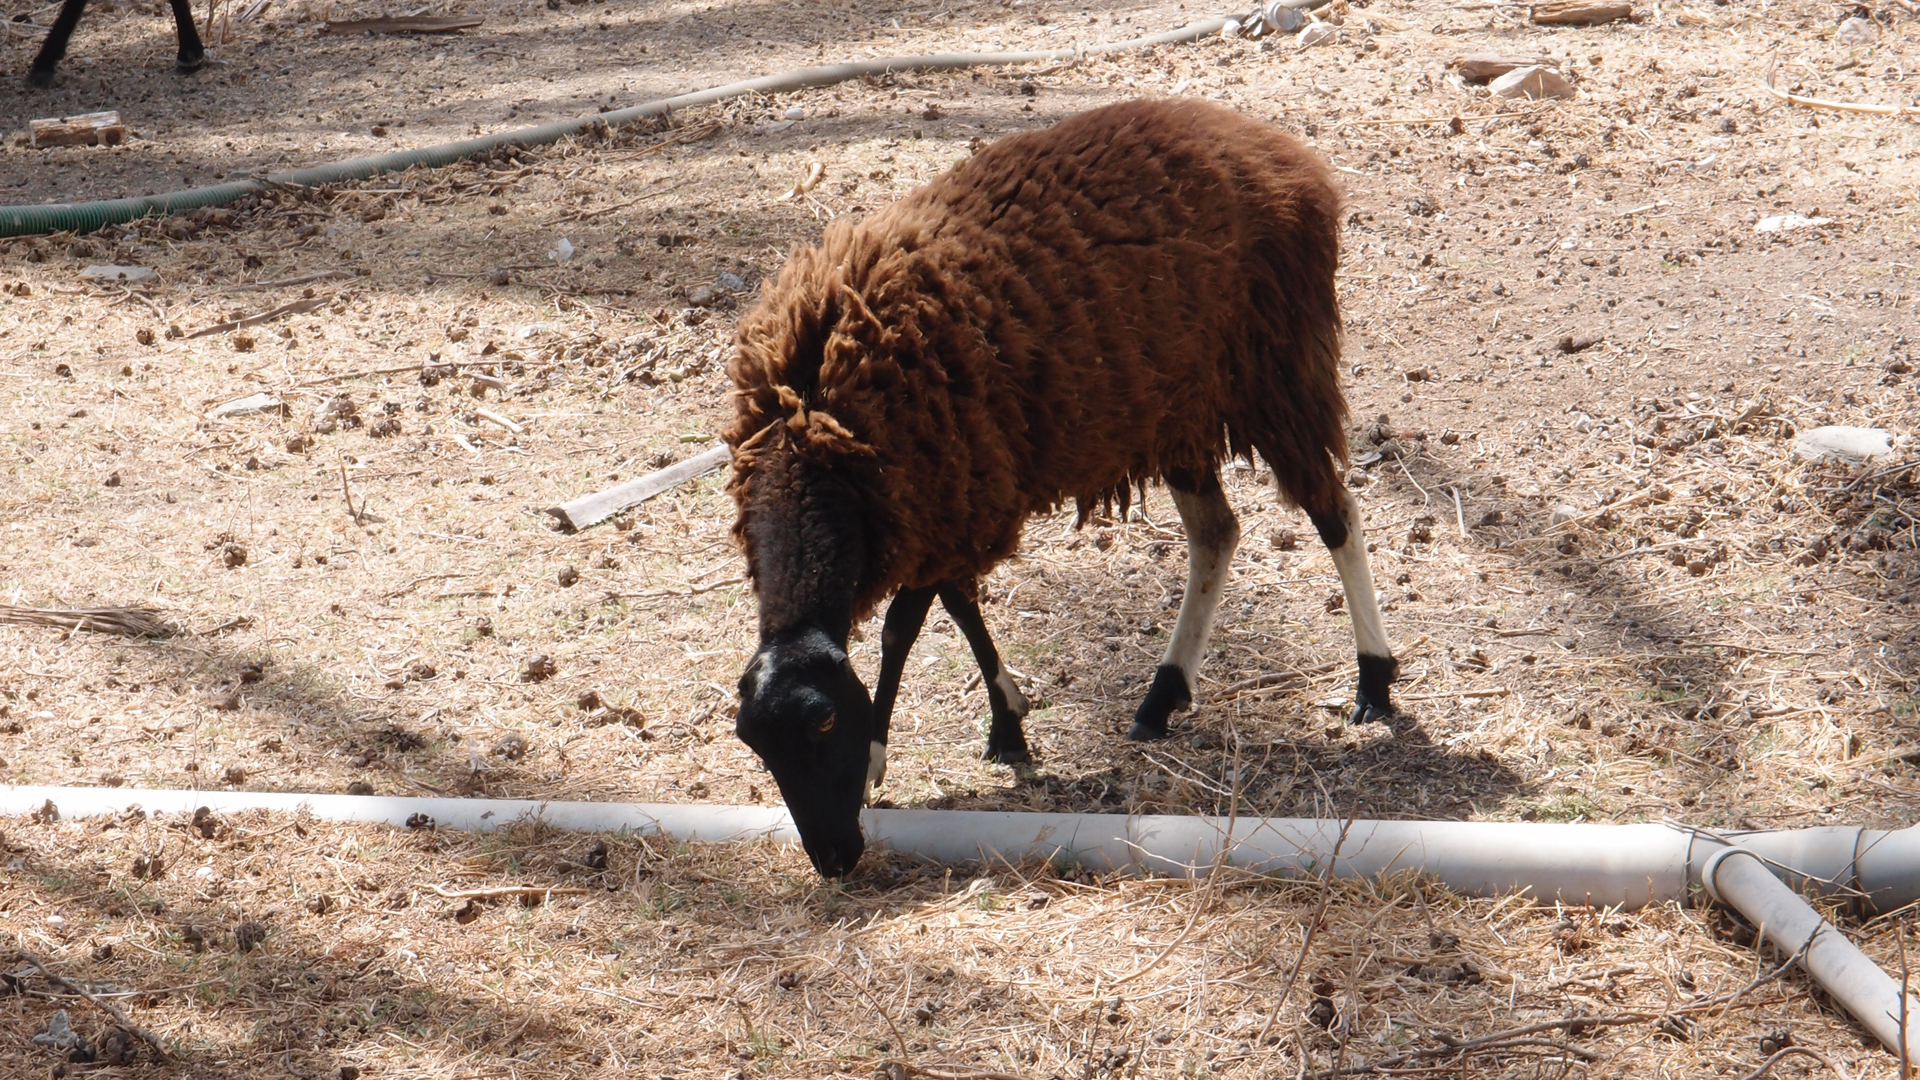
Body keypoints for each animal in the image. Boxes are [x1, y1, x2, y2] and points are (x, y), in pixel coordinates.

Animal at [721, 98, 1397, 876]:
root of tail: (1284, 155)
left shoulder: (949, 497)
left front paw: (881, 757)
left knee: (1334, 512)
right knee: (1217, 534)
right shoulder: (949, 503)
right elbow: (959, 606)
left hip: (1276, 366)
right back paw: (1161, 697)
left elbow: (902, 628)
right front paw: (1008, 724)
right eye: (754, 746)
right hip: (1178, 405)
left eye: (828, 721)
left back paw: (1374, 681)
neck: (816, 439)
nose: (832, 859)